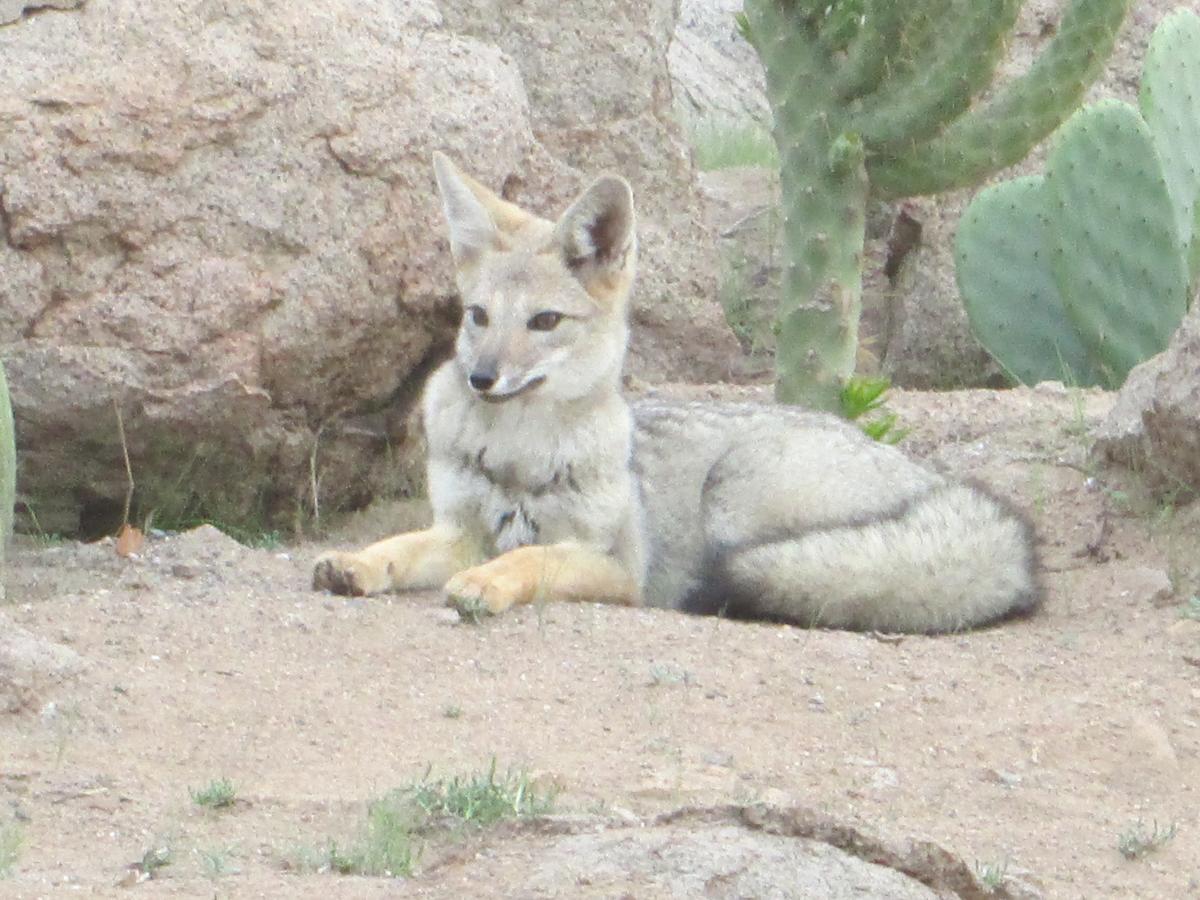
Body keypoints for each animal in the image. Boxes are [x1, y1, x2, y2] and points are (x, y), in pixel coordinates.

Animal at [314, 154, 1036, 633]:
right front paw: (355, 562)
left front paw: (488, 582)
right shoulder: (458, 528)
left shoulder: (614, 564)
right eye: (478, 317)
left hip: (732, 493)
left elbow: (534, 557)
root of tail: (945, 486)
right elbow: (399, 546)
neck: (518, 458)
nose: (481, 378)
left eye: (544, 322)